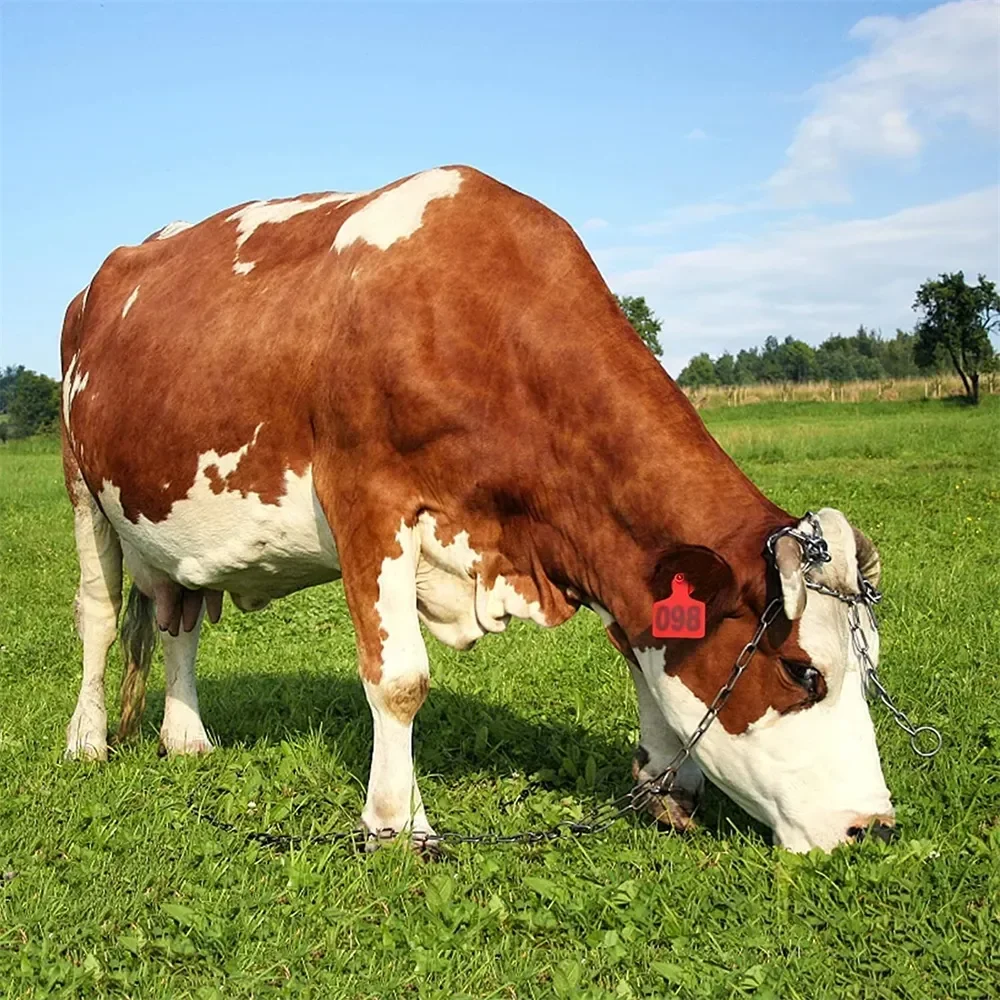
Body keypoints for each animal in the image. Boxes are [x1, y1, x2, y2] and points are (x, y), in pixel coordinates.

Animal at [60, 165, 895, 853]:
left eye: (870, 666)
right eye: (802, 672)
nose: (873, 825)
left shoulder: (588, 541)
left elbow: (638, 648)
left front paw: (664, 784)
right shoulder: (366, 500)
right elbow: (399, 679)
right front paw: (396, 825)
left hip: (173, 525)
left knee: (179, 619)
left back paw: (186, 738)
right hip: (83, 491)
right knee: (99, 616)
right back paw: (88, 741)